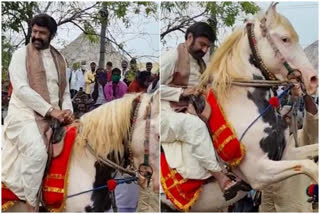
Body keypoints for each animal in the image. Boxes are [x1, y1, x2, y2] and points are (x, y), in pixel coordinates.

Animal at [162, 2, 318, 211]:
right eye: (285, 38)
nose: (312, 79)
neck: (245, 105)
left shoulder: (286, 155)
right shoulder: (259, 172)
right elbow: (311, 167)